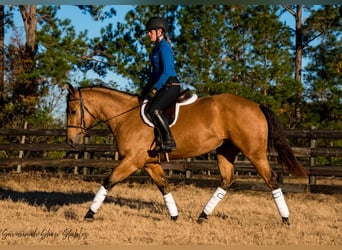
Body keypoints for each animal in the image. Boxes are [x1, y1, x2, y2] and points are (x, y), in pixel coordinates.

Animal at [65, 83, 308, 225]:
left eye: (73, 110)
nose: (70, 141)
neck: (126, 116)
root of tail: (256, 105)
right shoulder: (149, 163)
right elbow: (164, 186)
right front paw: (174, 216)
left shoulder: (132, 161)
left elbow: (108, 181)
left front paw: (88, 214)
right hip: (225, 151)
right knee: (227, 180)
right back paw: (202, 216)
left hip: (254, 153)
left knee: (271, 180)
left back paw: (285, 219)